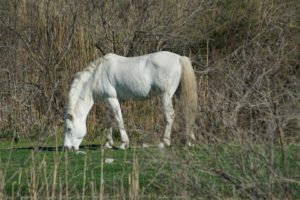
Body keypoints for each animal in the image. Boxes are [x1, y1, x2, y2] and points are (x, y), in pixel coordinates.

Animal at [63, 51, 198, 150]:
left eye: (69, 128)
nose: (67, 148)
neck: (98, 75)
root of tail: (179, 58)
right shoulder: (110, 100)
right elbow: (109, 121)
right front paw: (108, 144)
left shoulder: (112, 98)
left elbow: (118, 119)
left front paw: (124, 144)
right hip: (179, 95)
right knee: (187, 112)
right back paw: (189, 142)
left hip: (165, 96)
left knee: (170, 116)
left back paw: (164, 143)